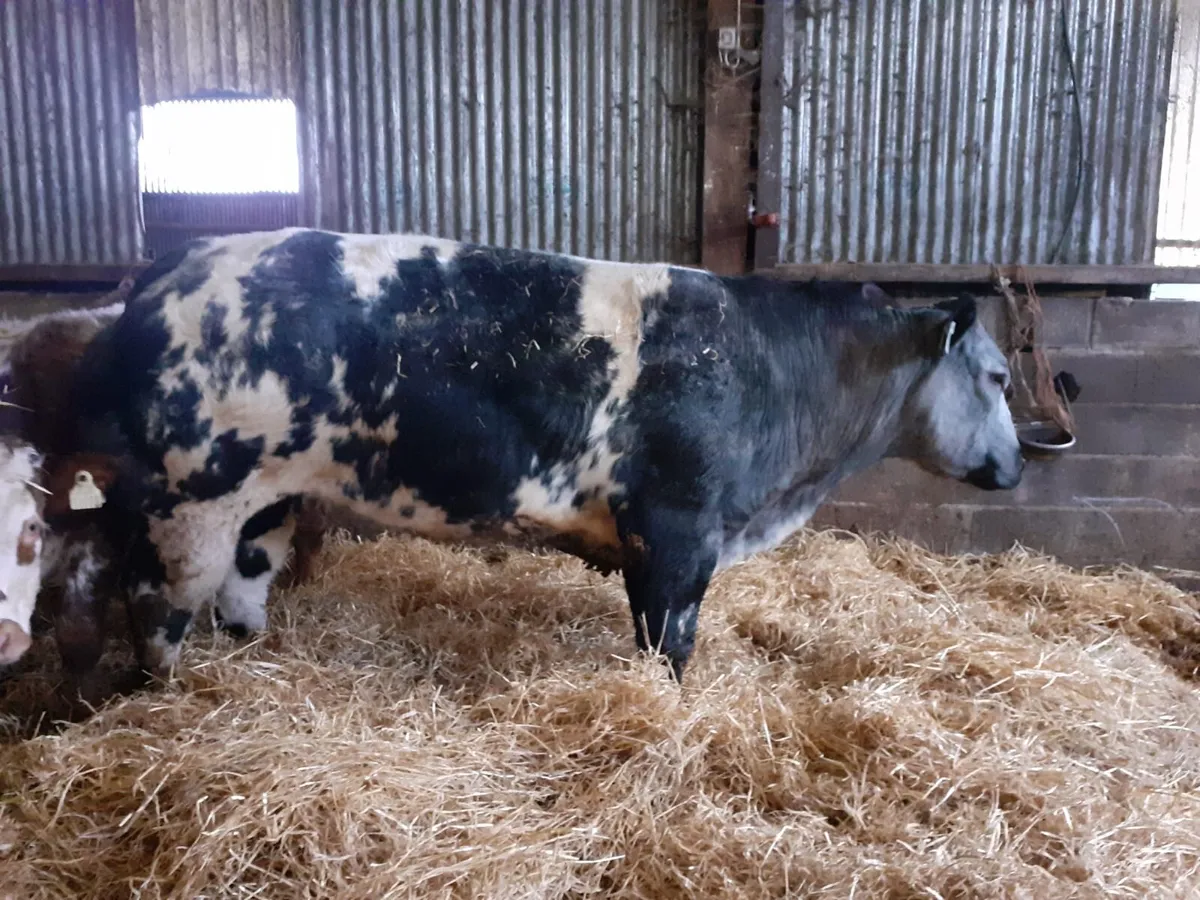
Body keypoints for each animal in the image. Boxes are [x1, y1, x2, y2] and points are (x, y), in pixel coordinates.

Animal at [60, 228, 1023, 683]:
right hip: (188, 499)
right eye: (1000, 374)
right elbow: (671, 644)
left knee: (243, 589)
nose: (1017, 468)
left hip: (265, 498)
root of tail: (171, 266)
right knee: (158, 610)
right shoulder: (676, 529)